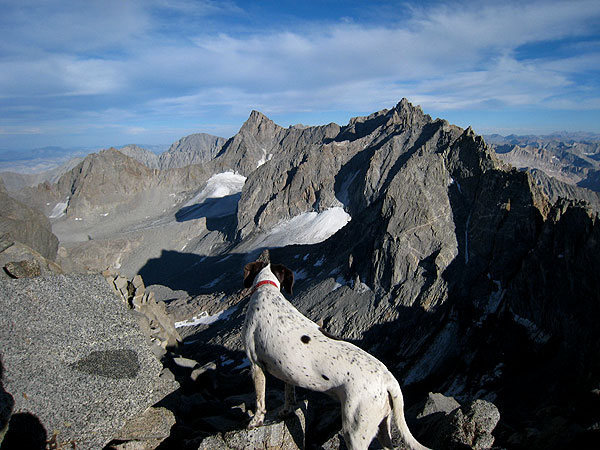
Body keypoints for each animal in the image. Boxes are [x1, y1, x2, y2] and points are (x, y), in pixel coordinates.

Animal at [241, 260, 428, 450]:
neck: (267, 288)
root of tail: (388, 379)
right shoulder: (287, 371)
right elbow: (289, 394)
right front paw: (286, 410)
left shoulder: (256, 364)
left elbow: (260, 400)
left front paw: (255, 421)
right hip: (382, 425)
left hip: (354, 431)